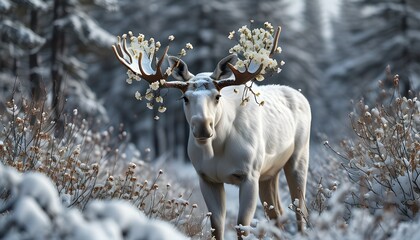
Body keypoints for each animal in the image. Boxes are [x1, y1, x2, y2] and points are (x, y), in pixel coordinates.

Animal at [113, 27, 310, 239]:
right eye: (185, 97)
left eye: (217, 96)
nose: (202, 127)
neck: (216, 150)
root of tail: (301, 96)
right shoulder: (206, 177)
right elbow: (217, 226)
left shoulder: (249, 174)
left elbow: (242, 226)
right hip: (269, 173)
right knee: (278, 216)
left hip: (298, 157)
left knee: (301, 210)